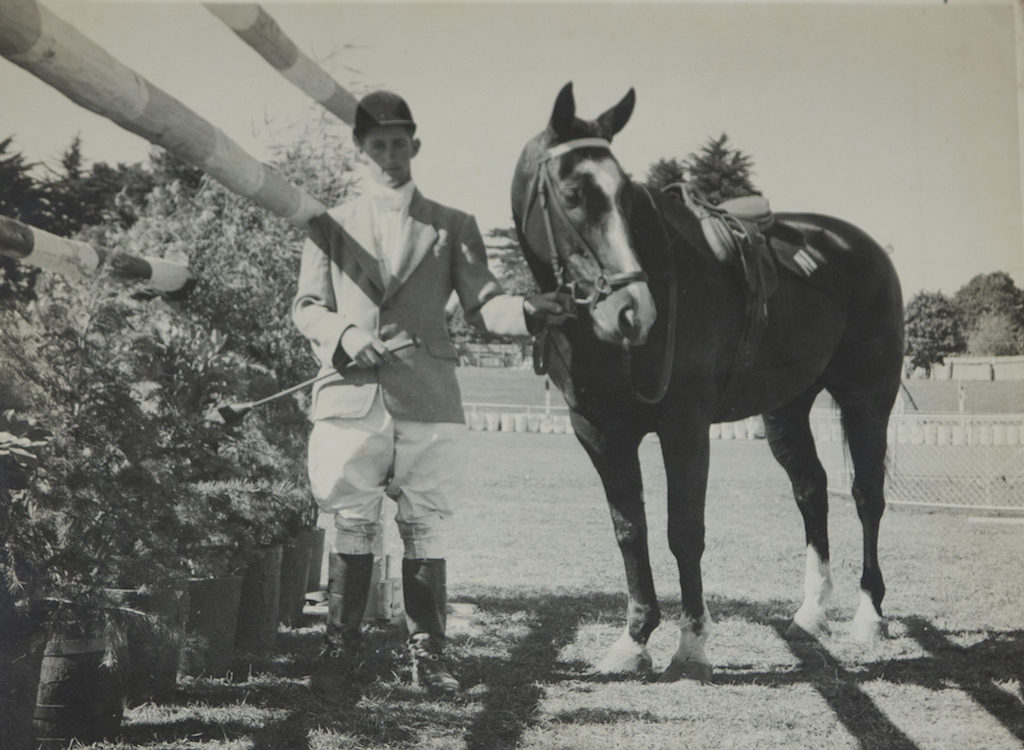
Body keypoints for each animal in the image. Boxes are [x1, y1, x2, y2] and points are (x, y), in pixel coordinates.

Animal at [512, 81, 905, 680]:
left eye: (626, 196)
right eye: (574, 193)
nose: (633, 310)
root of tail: (861, 247)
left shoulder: (685, 428)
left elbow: (683, 531)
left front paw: (692, 644)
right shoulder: (599, 433)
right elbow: (630, 530)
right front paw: (634, 639)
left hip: (867, 400)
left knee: (866, 496)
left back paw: (868, 615)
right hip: (786, 409)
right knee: (811, 489)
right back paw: (812, 611)